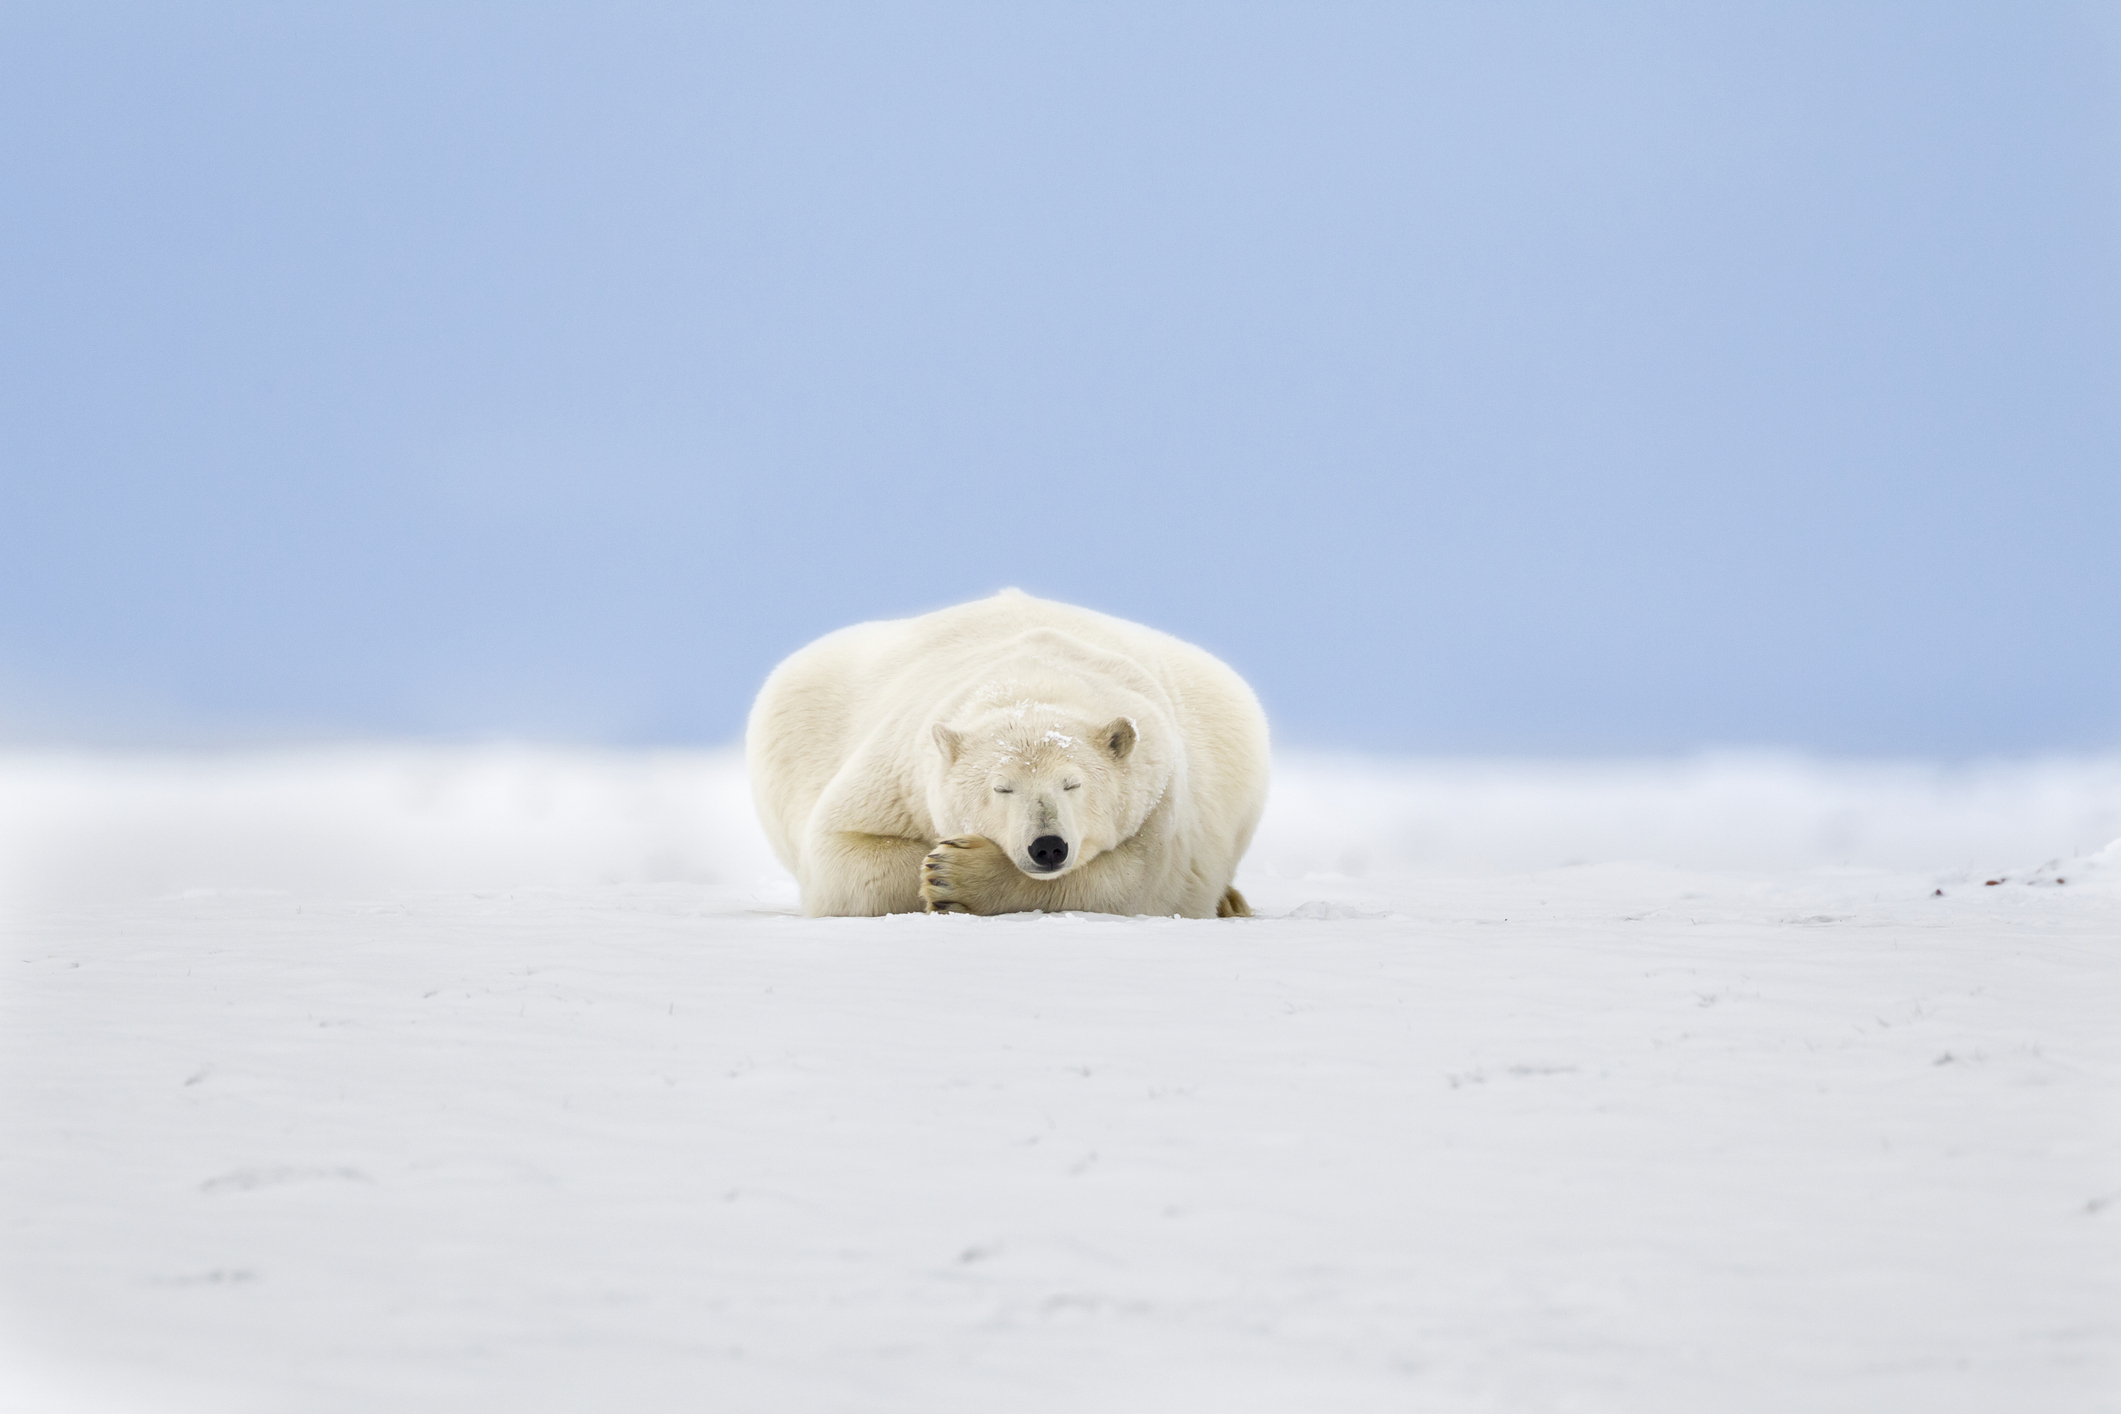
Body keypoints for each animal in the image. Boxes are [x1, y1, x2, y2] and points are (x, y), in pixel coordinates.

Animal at [746, 590, 1269, 918]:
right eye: (1001, 788)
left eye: (1073, 784)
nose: (1047, 846)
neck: (1034, 679)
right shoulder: (898, 772)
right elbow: (841, 852)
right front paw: (937, 864)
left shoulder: (1161, 794)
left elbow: (1140, 881)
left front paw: (957, 875)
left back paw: (1232, 902)